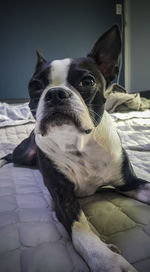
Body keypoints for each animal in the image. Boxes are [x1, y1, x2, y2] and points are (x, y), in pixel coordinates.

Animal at [1, 26, 150, 272]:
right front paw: (107, 260)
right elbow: (81, 231)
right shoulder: (63, 197)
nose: (55, 93)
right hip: (23, 153)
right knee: (9, 155)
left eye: (87, 82)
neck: (78, 142)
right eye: (35, 86)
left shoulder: (129, 183)